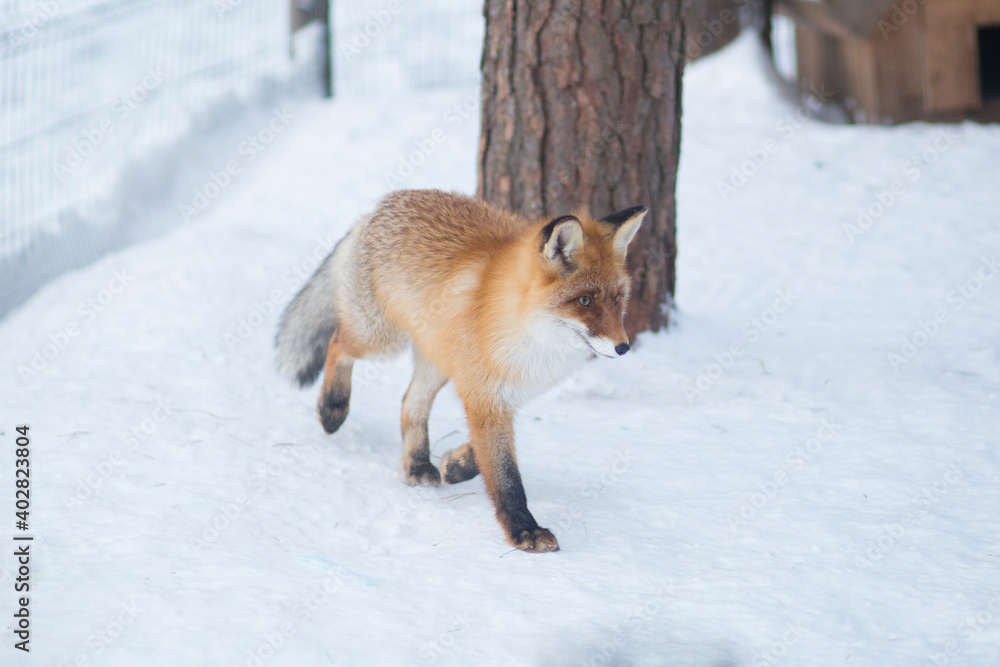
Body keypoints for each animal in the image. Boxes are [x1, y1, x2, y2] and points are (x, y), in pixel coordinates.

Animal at [275, 189, 646, 552]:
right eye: (584, 301)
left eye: (618, 298)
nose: (623, 348)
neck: (530, 336)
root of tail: (377, 207)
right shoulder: (485, 396)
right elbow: (505, 475)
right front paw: (524, 530)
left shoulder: (501, 395)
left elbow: (484, 454)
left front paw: (455, 465)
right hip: (380, 340)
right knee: (338, 343)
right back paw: (332, 408)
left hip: (437, 360)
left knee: (410, 402)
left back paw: (416, 464)